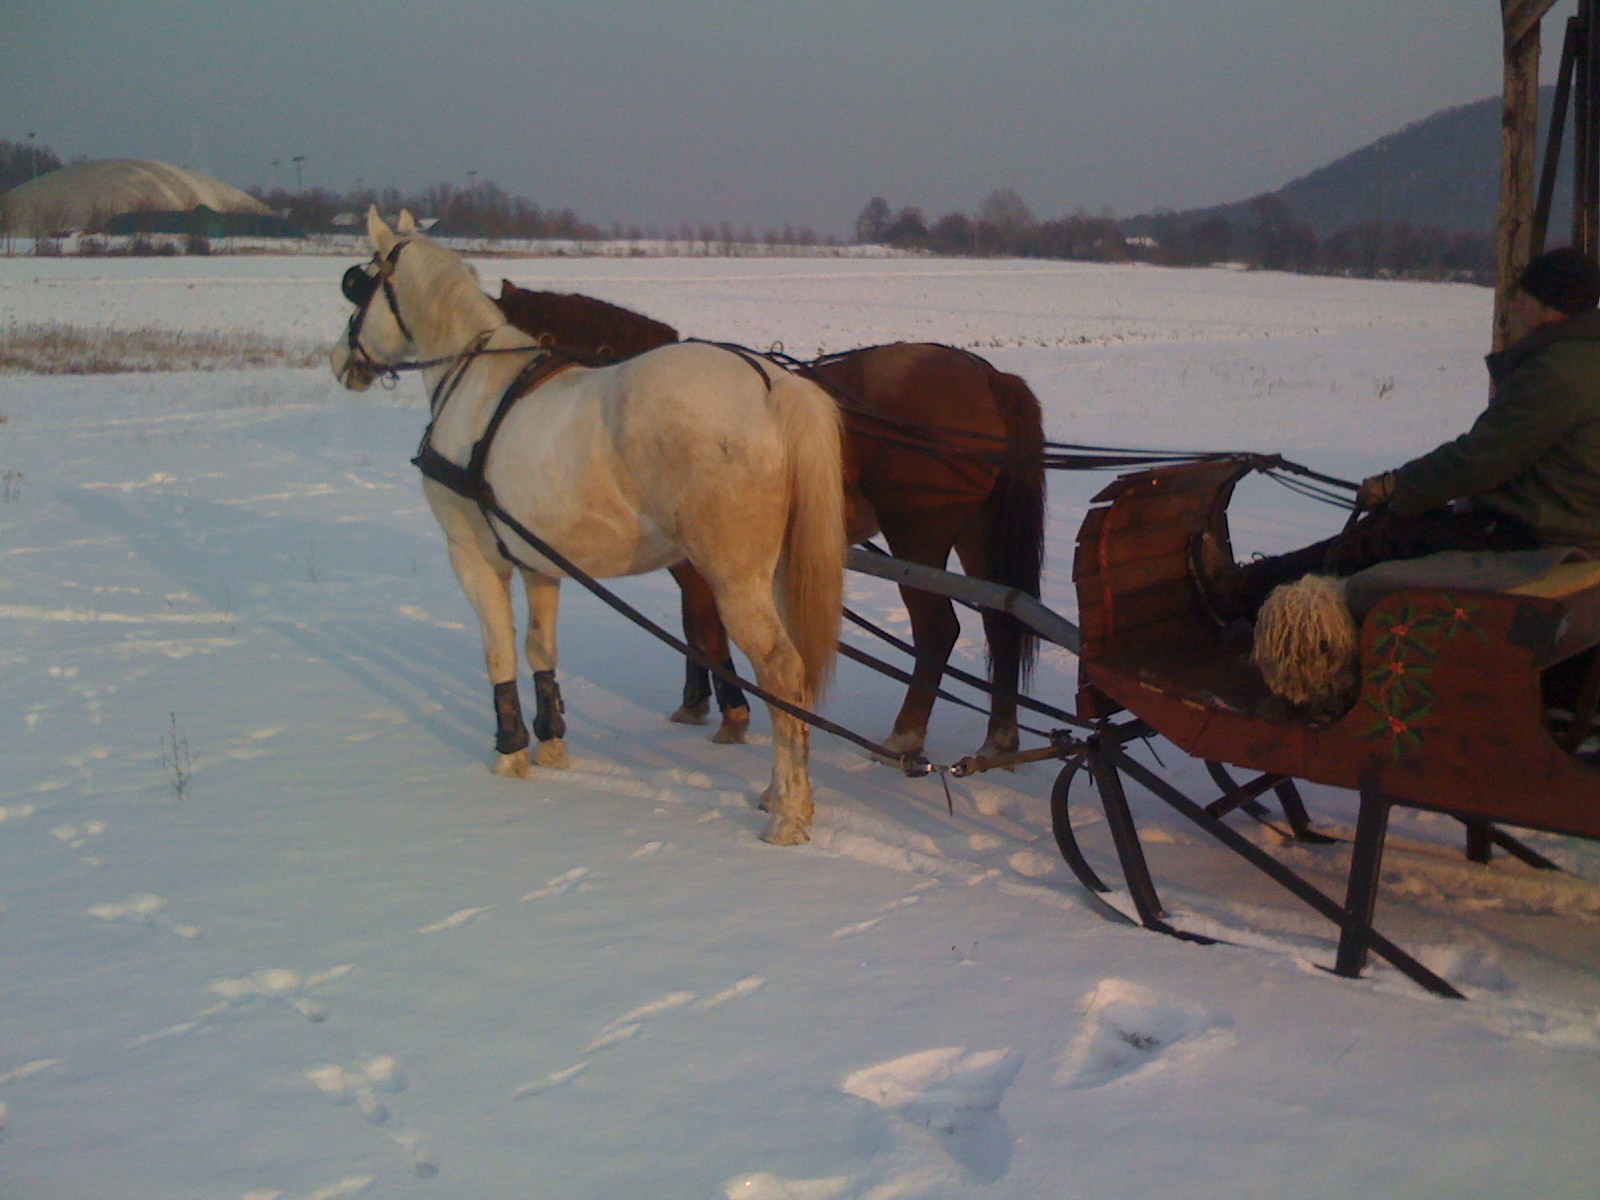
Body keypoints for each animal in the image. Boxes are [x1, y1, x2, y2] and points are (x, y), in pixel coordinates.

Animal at [331, 209, 844, 844]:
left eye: (359, 286)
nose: (340, 360)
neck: (473, 383)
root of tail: (771, 384)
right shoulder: (538, 563)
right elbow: (539, 647)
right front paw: (552, 745)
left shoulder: (473, 556)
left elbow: (498, 652)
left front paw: (510, 754)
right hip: (771, 573)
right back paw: (777, 793)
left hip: (734, 580)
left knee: (781, 671)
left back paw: (790, 814)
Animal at [499, 281, 1049, 761]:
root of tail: (987, 377)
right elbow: (694, 625)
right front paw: (695, 702)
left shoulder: (701, 564)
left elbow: (704, 626)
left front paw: (728, 714)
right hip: (978, 535)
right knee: (1000, 621)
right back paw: (999, 740)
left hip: (918, 538)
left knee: (937, 630)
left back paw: (904, 736)